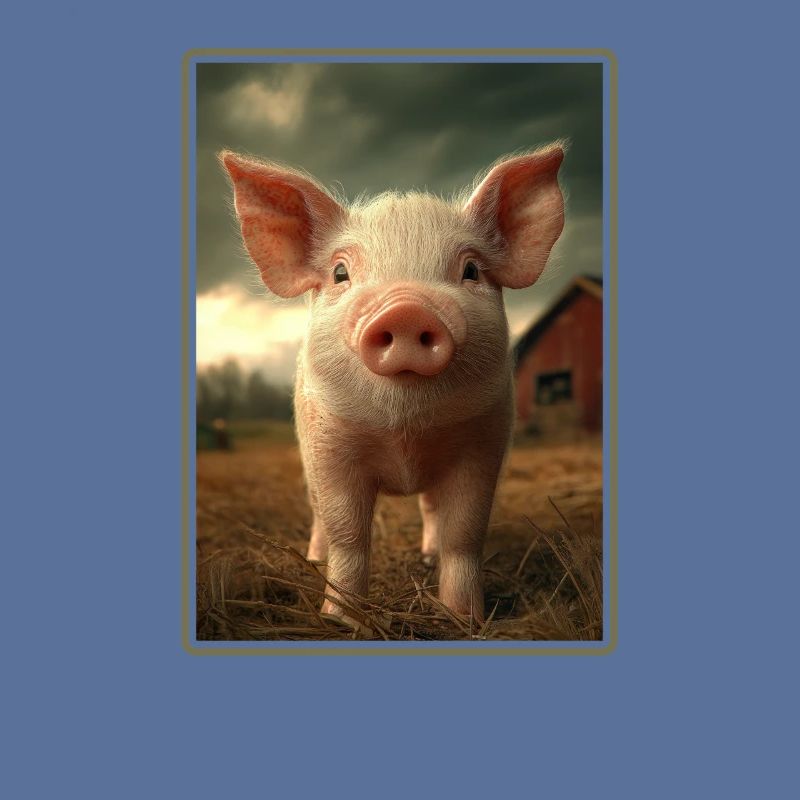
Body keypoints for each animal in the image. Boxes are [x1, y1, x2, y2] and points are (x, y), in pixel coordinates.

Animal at [221, 144, 565, 630]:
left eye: (471, 270)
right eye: (340, 273)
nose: (406, 308)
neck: (405, 433)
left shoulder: (482, 443)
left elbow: (464, 532)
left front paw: (464, 620)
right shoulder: (330, 446)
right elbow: (347, 535)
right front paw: (341, 622)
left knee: (431, 510)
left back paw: (427, 558)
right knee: (318, 515)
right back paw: (314, 559)